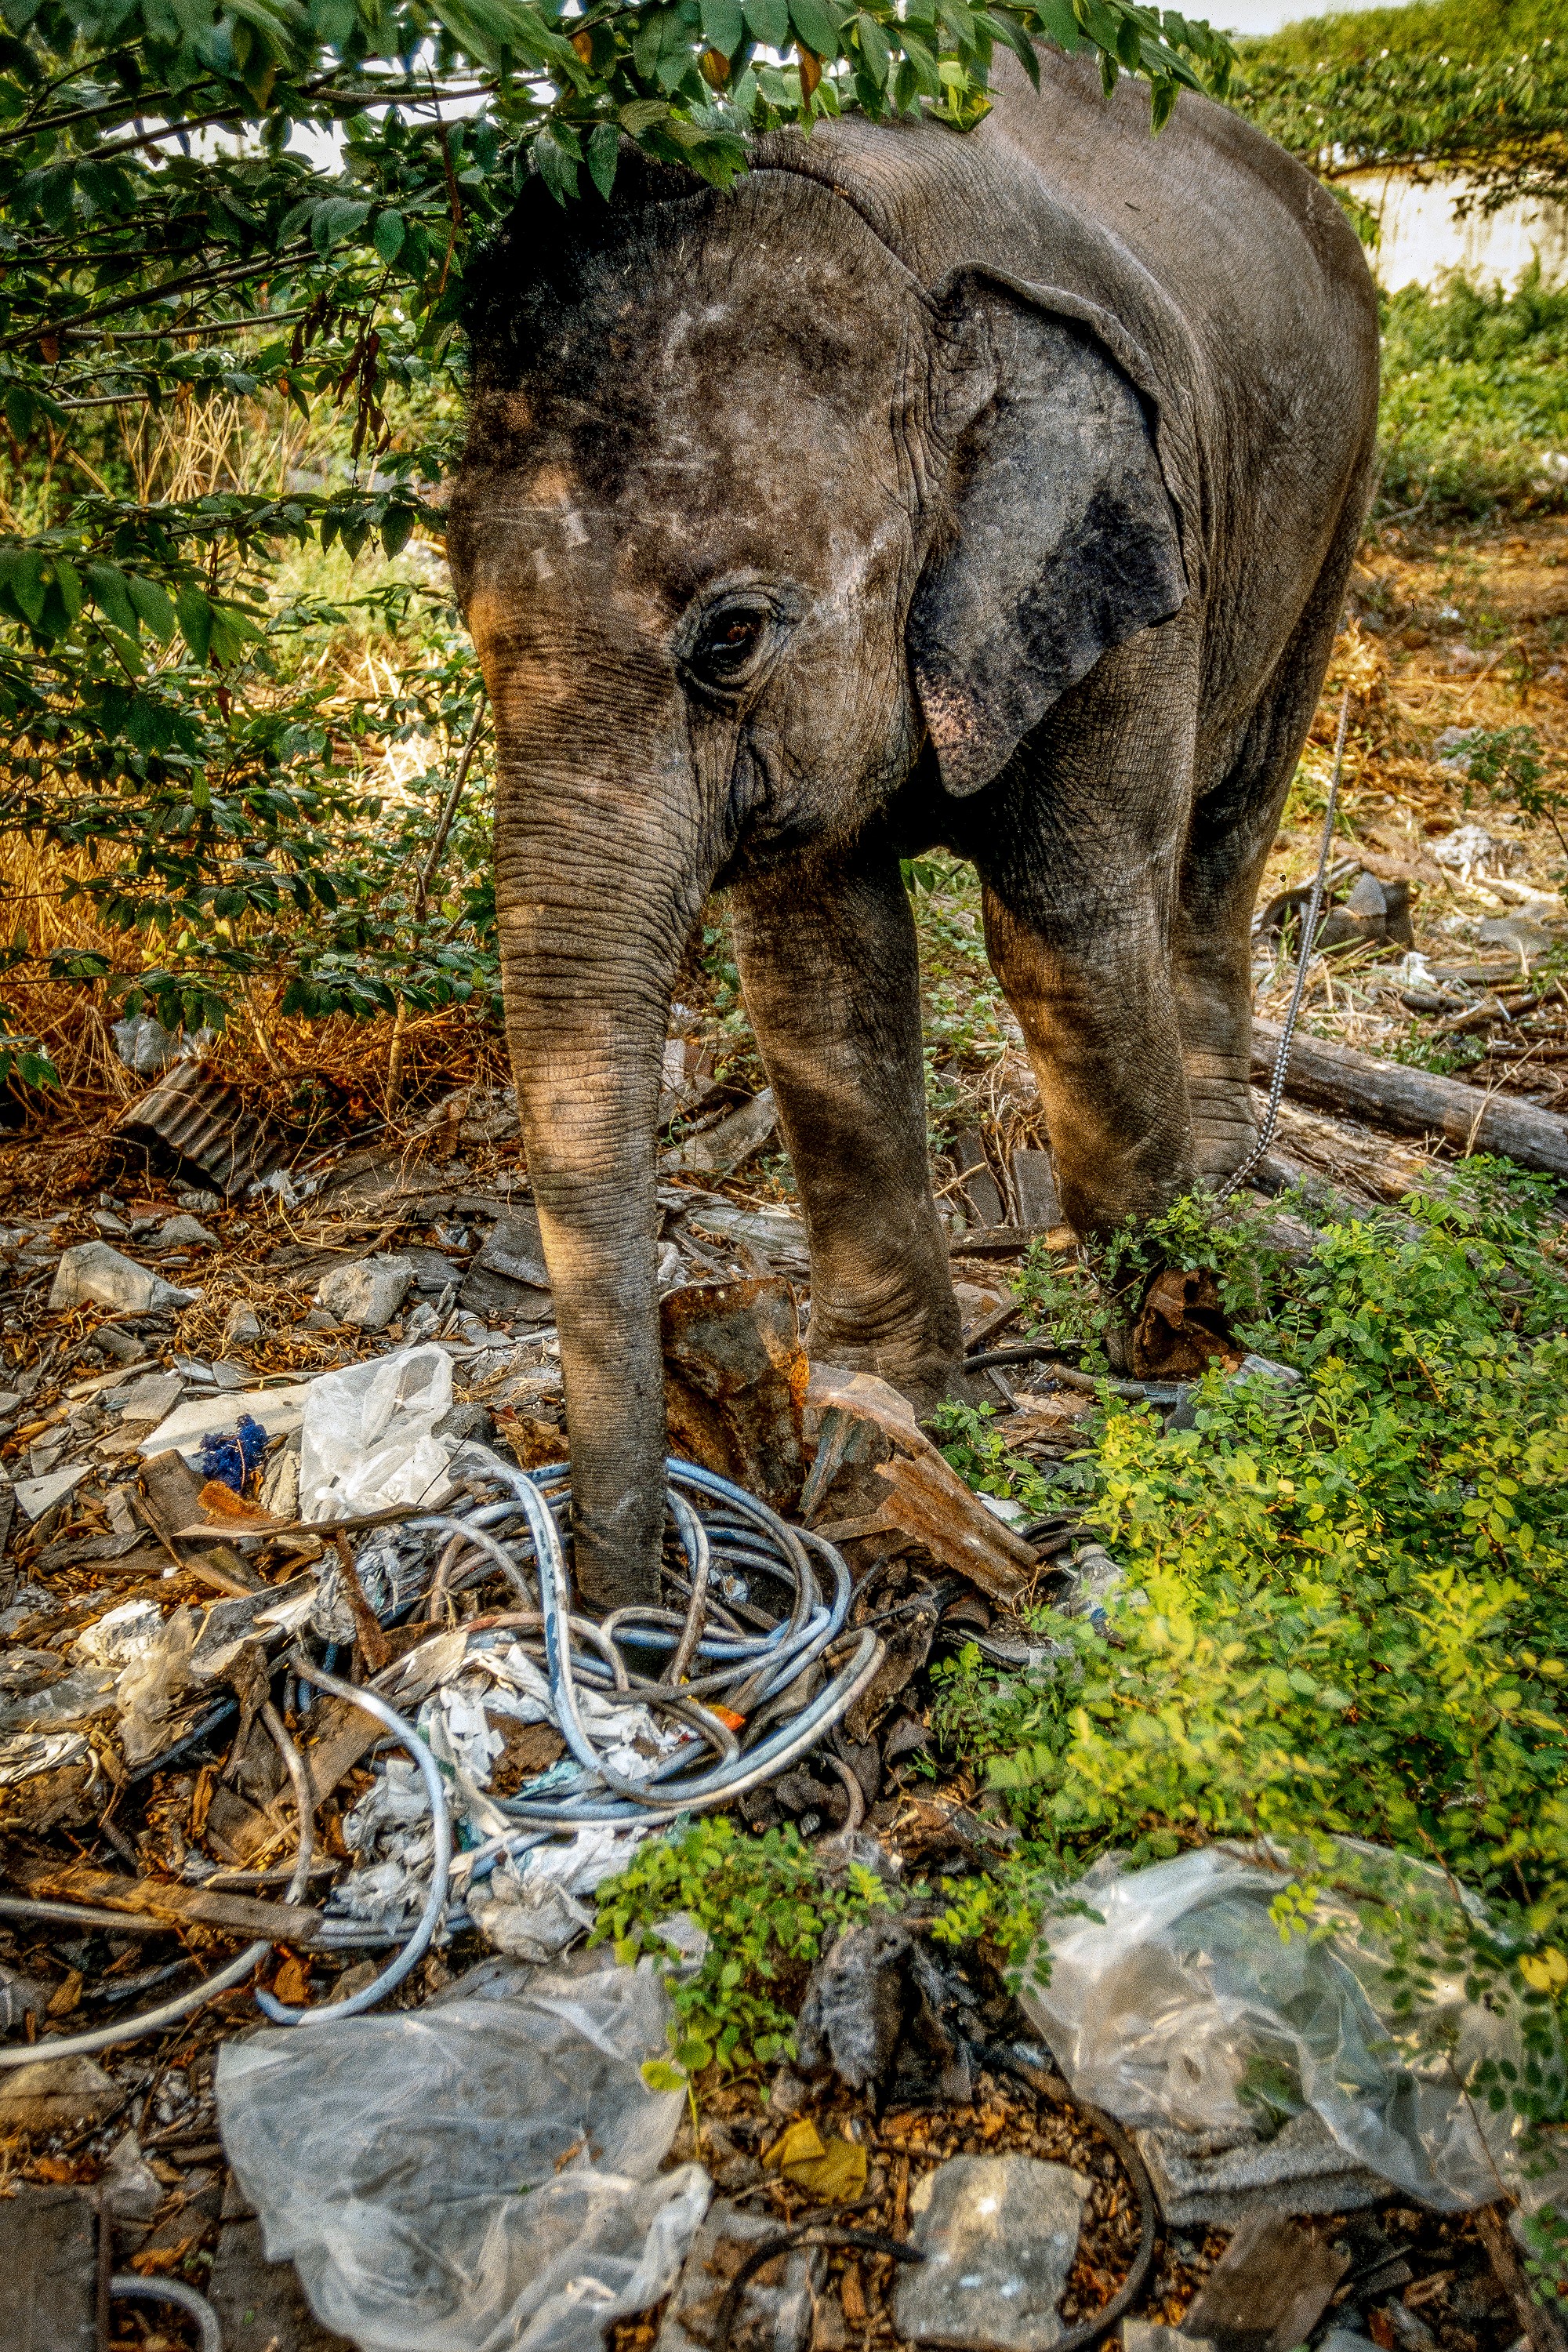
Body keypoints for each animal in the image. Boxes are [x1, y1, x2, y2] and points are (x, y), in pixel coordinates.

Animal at [447, 44, 1380, 1609]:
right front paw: (881, 1411)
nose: (631, 1611)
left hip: (1340, 481)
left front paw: (1169, 1336)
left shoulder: (1138, 546)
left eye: (732, 637)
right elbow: (825, 970)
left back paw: (1227, 1171)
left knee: (1227, 830)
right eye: (465, 619)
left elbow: (1063, 917)